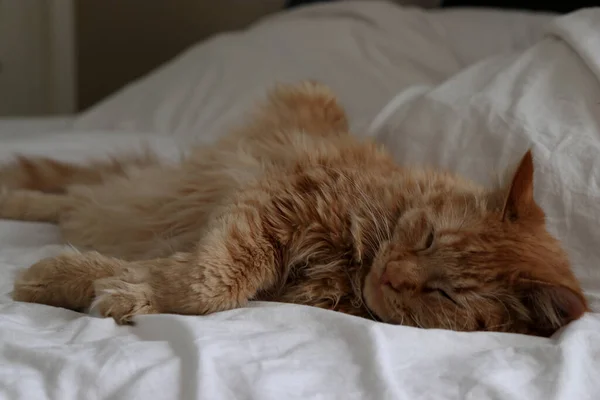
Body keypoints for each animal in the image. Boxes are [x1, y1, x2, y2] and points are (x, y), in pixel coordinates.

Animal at [4, 83, 584, 336]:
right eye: (428, 239)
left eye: (442, 294)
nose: (392, 276)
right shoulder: (278, 199)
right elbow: (211, 279)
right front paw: (55, 277)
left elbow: (198, 284)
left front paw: (100, 284)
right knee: (68, 195)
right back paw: (12, 196)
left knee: (75, 202)